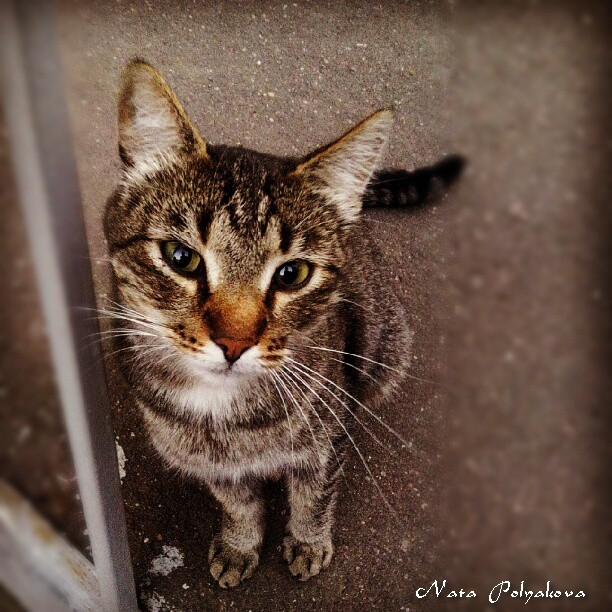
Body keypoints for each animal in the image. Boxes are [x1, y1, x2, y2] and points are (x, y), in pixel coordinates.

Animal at [103, 59, 462, 589]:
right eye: (181, 257)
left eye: (293, 273)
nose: (234, 342)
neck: (224, 416)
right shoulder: (209, 463)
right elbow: (237, 504)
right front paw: (239, 545)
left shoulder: (328, 436)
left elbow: (313, 497)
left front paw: (308, 543)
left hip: (388, 347)